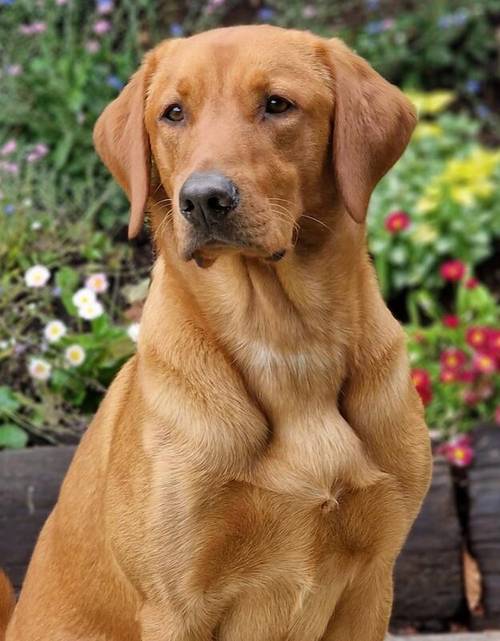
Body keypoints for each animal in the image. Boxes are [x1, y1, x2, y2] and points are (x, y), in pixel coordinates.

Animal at [1, 25, 430, 640]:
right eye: (173, 113)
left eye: (277, 104)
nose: (204, 198)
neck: (286, 342)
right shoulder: (175, 606)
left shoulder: (371, 584)